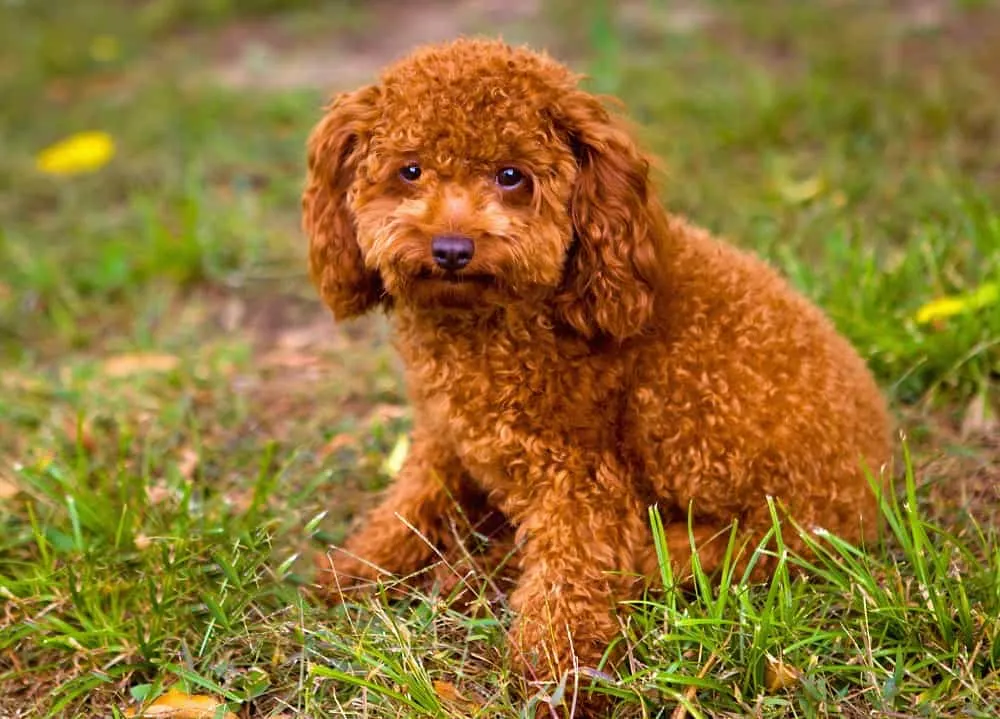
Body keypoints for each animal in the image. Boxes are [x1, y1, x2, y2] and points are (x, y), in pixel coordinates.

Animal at [304, 38, 892, 704]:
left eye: (512, 176)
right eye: (410, 170)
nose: (451, 250)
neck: (492, 321)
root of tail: (867, 496)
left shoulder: (580, 476)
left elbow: (571, 569)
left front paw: (559, 671)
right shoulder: (444, 434)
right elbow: (410, 502)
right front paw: (360, 568)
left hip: (694, 430)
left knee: (728, 552)